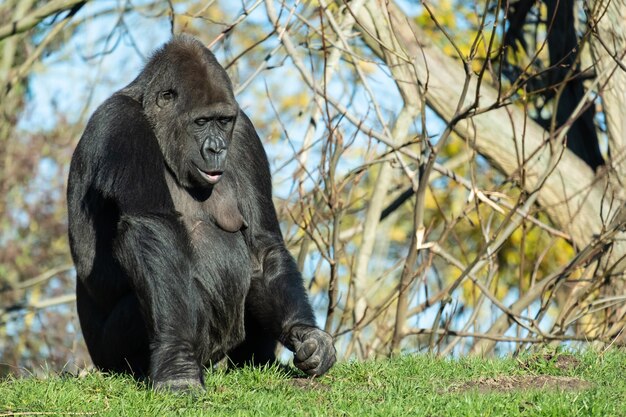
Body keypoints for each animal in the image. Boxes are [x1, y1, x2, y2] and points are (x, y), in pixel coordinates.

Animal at [66, 35, 334, 390]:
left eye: (223, 121)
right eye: (201, 122)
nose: (217, 148)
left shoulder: (243, 133)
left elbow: (262, 246)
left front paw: (306, 334)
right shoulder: (120, 123)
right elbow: (153, 229)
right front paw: (177, 363)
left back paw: (255, 361)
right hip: (108, 357)